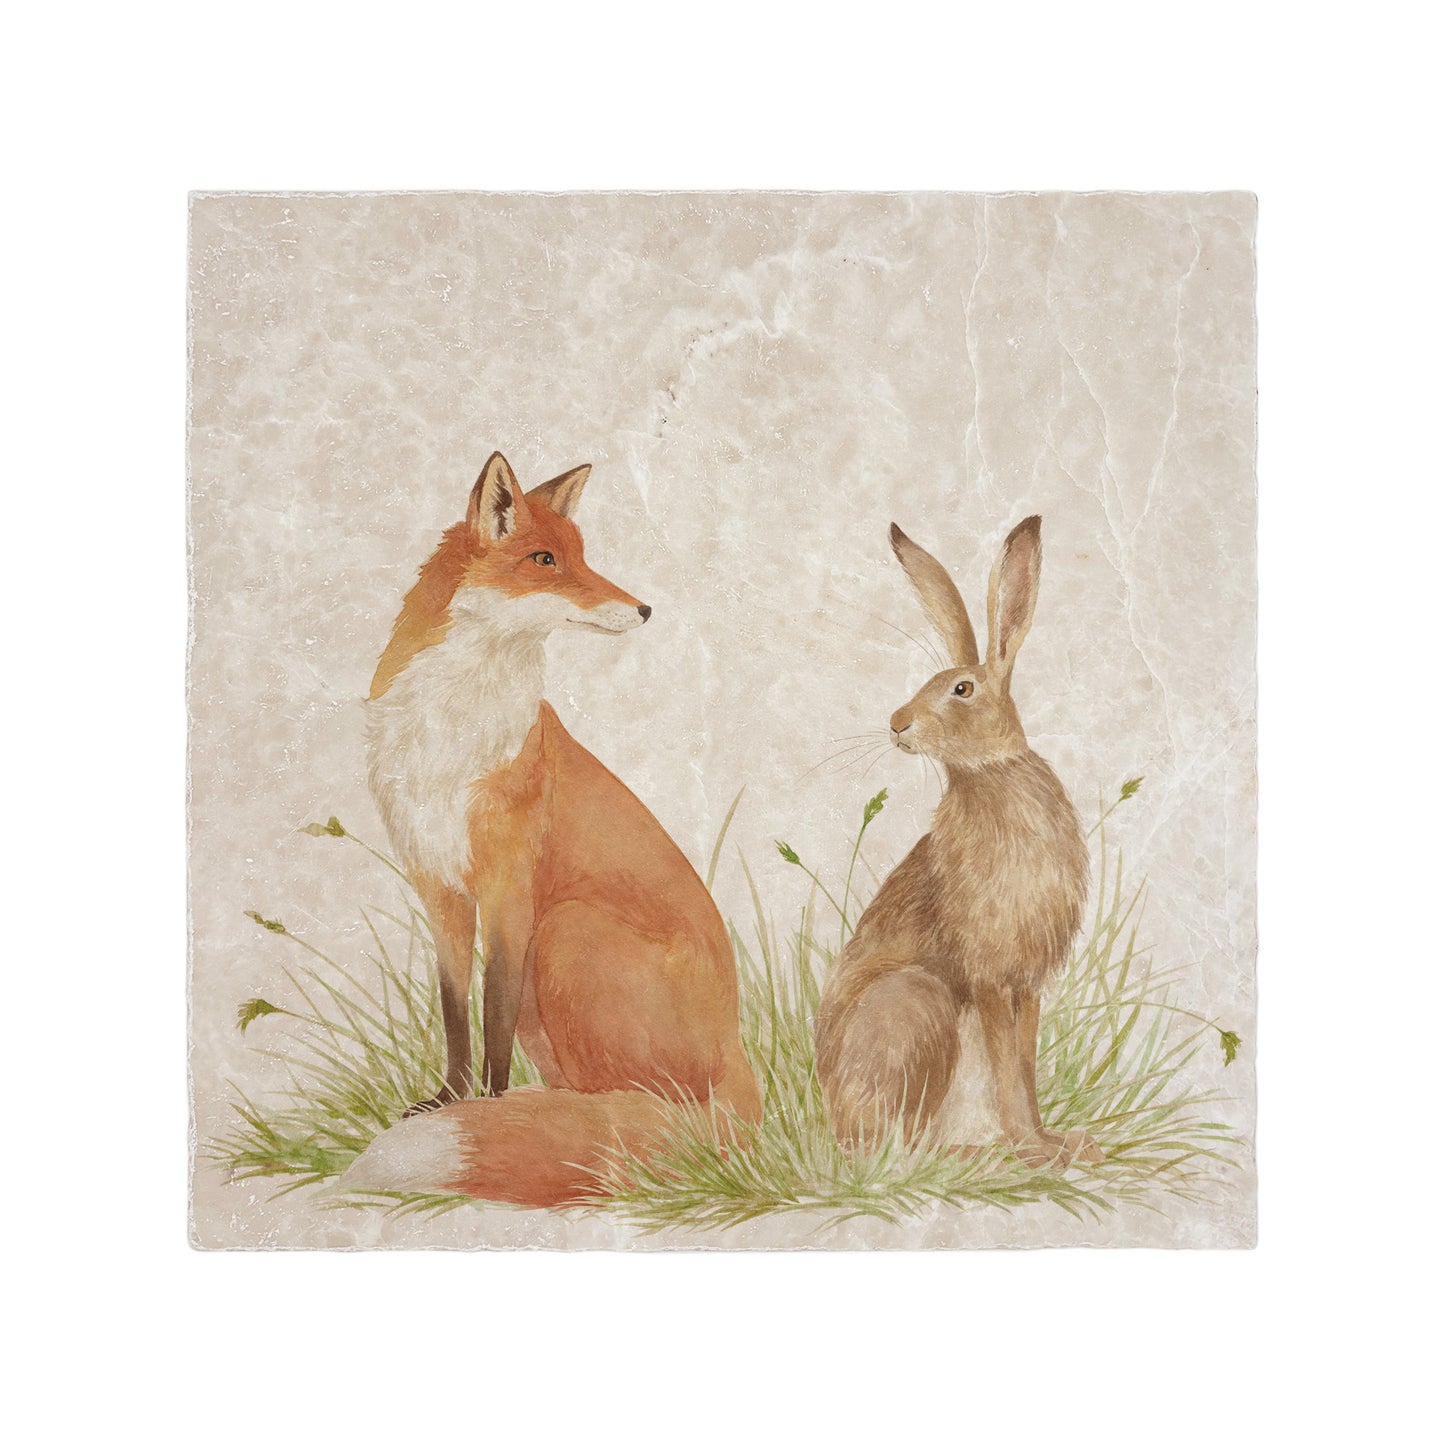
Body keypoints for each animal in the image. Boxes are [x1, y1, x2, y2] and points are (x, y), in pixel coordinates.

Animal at [345, 452, 761, 1207]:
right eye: (545, 560)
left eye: (584, 556)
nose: (645, 608)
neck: (449, 732)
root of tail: (740, 1059)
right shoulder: (441, 890)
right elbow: (458, 1013)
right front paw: (449, 1102)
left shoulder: (509, 889)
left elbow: (494, 1013)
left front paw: (488, 1108)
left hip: (564, 928)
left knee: (646, 1109)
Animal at [813, 516, 1102, 1168]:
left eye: (962, 689)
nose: (897, 723)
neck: (989, 772)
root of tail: (837, 1130)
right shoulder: (990, 971)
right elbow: (1007, 1069)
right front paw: (1036, 1150)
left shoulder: (1026, 981)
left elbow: (1023, 1065)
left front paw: (1056, 1142)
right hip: (917, 1005)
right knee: (901, 1151)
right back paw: (977, 1155)